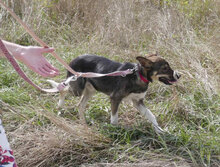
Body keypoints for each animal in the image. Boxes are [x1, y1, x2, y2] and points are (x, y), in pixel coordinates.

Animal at [49, 53, 180, 133]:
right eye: (165, 68)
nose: (179, 75)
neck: (137, 74)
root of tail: (73, 60)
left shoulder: (137, 101)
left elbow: (151, 116)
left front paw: (159, 130)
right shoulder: (115, 98)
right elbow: (114, 118)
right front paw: (114, 130)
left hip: (90, 90)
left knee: (80, 105)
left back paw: (83, 123)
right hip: (77, 89)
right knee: (62, 89)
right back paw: (59, 107)